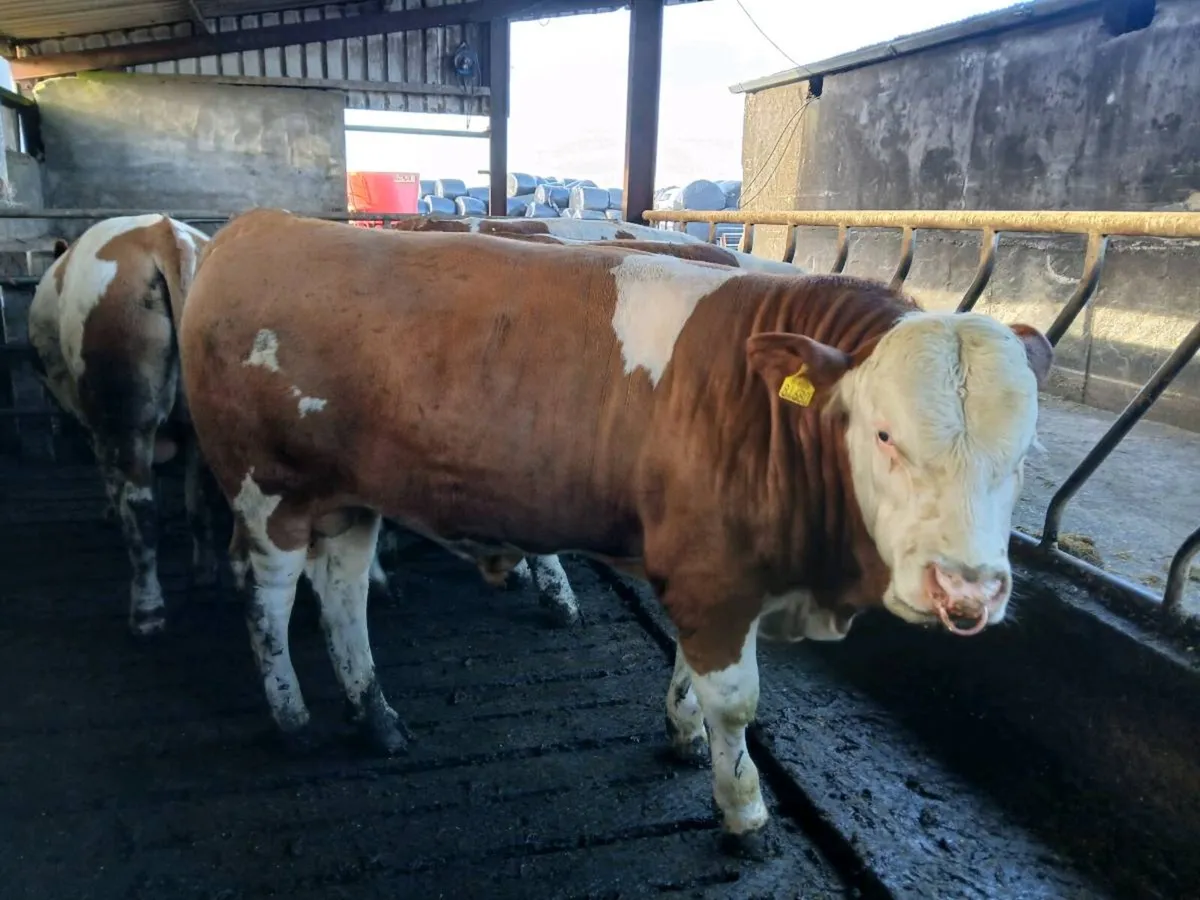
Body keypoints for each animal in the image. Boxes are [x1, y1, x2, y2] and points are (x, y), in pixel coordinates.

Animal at [28, 214, 220, 636]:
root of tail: (163, 232)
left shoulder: (90, 421)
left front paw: (109, 510)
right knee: (199, 500)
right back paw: (202, 573)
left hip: (124, 410)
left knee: (139, 508)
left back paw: (147, 609)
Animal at [177, 209, 1053, 857]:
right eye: (883, 434)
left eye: (1023, 455)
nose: (967, 589)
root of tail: (258, 227)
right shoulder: (714, 573)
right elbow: (737, 701)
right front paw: (743, 812)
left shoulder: (714, 570)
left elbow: (691, 673)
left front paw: (682, 732)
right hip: (265, 489)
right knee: (270, 591)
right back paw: (293, 719)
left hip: (350, 494)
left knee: (343, 589)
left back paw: (376, 716)